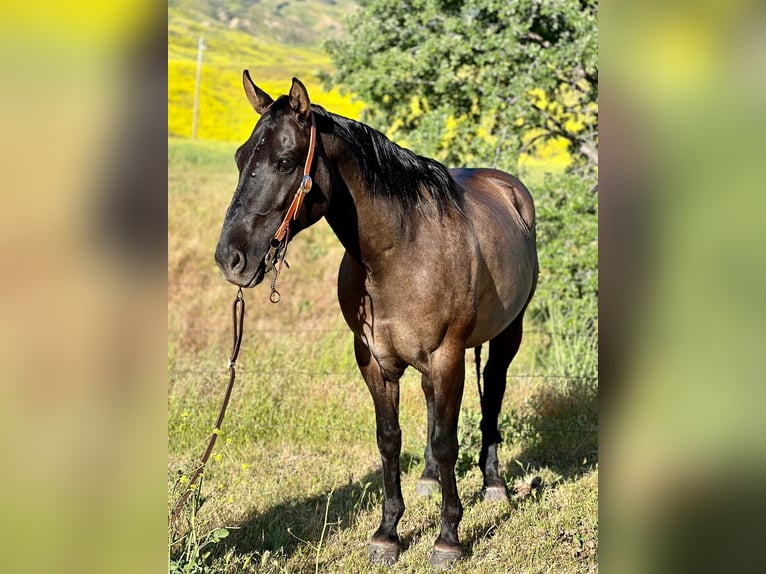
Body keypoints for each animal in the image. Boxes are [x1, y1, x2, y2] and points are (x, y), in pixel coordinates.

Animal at [214, 73, 540, 572]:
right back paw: (428, 479)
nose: (230, 259)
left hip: (506, 336)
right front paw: (388, 534)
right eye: (239, 158)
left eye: (285, 162)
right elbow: (389, 439)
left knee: (493, 396)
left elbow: (447, 441)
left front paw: (448, 539)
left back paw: (494, 485)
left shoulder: (446, 356)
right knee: (432, 408)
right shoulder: (375, 362)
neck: (400, 251)